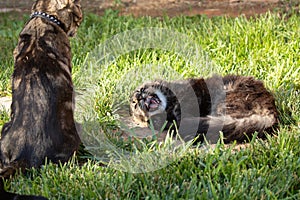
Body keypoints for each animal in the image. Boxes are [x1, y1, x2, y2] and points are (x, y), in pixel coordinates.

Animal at [0, 0, 82, 198]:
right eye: (78, 13)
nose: (79, 23)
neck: (43, 17)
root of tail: (22, 156)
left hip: (4, 127)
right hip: (73, 138)